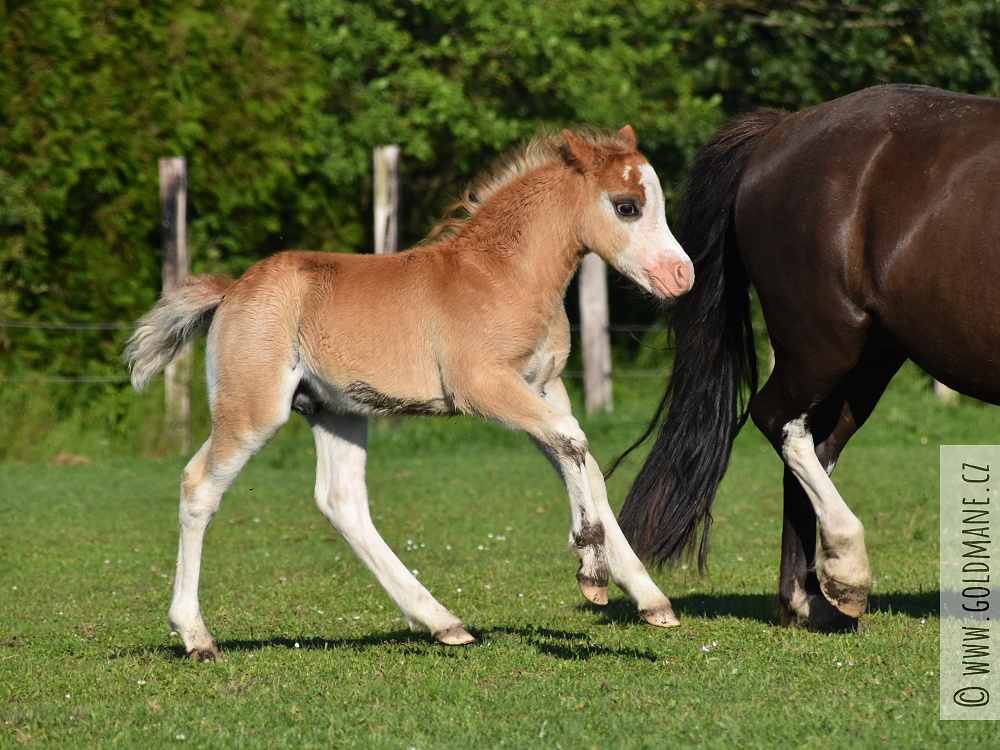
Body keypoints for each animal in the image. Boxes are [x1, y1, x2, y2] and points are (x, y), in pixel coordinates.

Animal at [616, 85, 1000, 632]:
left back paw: (808, 599)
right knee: (778, 421)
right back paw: (845, 572)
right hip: (825, 343)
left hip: (867, 359)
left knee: (815, 444)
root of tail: (779, 131)